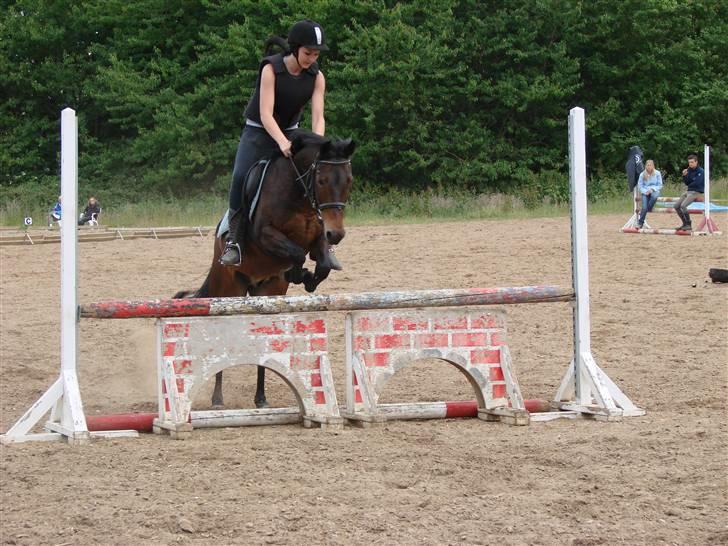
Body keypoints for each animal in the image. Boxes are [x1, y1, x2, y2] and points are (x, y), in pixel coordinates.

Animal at [177, 130, 358, 406]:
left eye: (349, 180)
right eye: (322, 180)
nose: (336, 234)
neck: (300, 195)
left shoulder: (318, 237)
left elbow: (324, 263)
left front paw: (308, 277)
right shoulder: (266, 235)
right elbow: (296, 253)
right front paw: (299, 273)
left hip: (266, 292)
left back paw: (260, 398)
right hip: (229, 289)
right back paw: (217, 398)